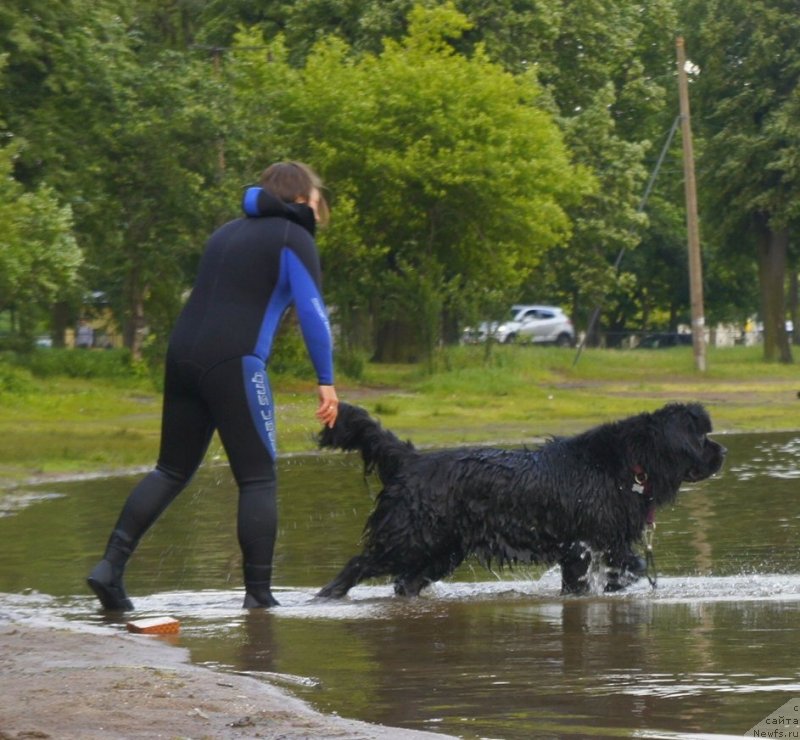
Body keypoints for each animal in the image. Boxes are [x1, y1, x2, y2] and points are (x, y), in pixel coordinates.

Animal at [318, 402, 724, 600]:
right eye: (702, 438)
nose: (724, 451)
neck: (627, 466)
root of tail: (411, 458)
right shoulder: (587, 542)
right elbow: (634, 566)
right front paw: (610, 584)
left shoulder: (596, 544)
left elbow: (611, 573)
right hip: (410, 537)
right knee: (359, 563)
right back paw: (327, 596)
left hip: (442, 551)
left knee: (406, 582)